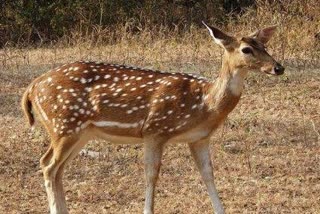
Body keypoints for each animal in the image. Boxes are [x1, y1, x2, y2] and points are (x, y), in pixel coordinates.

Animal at [20, 22, 284, 214]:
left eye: (265, 45)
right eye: (246, 49)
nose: (278, 67)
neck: (204, 104)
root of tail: (32, 87)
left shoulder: (199, 138)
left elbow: (208, 174)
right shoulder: (155, 129)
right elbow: (151, 175)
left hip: (79, 132)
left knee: (55, 167)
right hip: (65, 125)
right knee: (49, 165)